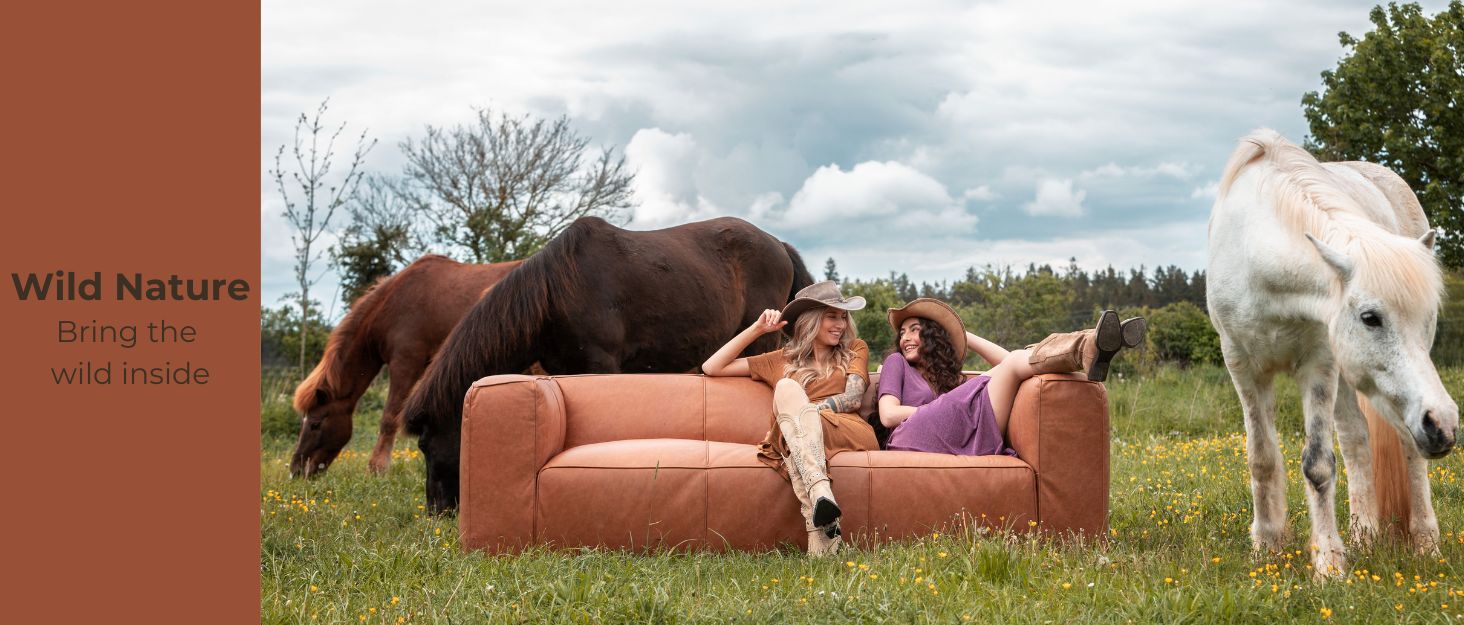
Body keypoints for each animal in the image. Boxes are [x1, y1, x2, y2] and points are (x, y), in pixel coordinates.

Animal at [288, 254, 524, 480]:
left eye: (315, 424)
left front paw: (376, 469)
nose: (296, 472)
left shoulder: (404, 364)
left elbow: (389, 418)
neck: (391, 304)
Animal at [1206, 128, 1458, 576]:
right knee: (1357, 440)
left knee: (1408, 444)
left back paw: (1425, 543)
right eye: (1370, 317)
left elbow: (1318, 464)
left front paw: (1328, 565)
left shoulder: (1318, 364)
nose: (1444, 425)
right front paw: (1267, 547)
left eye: (1427, 314)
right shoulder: (1242, 366)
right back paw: (1364, 535)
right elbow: (1261, 458)